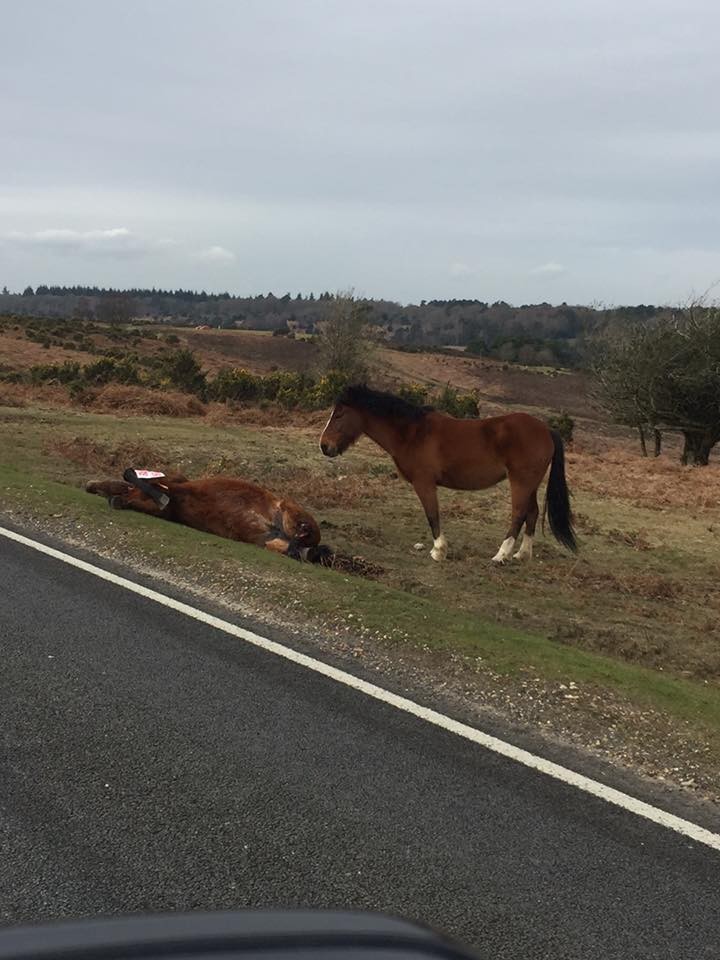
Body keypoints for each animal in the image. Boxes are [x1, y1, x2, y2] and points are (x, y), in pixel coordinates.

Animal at [86, 470, 322, 560]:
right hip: (268, 538)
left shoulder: (169, 485)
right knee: (296, 547)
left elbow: (131, 478)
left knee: (307, 536)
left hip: (287, 510)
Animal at [318, 382, 576, 564]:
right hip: (530, 483)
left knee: (519, 513)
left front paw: (438, 551)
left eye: (339, 415)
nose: (324, 446)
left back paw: (500, 555)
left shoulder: (424, 483)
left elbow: (432, 514)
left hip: (521, 482)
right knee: (532, 513)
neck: (412, 433)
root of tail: (546, 430)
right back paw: (522, 555)